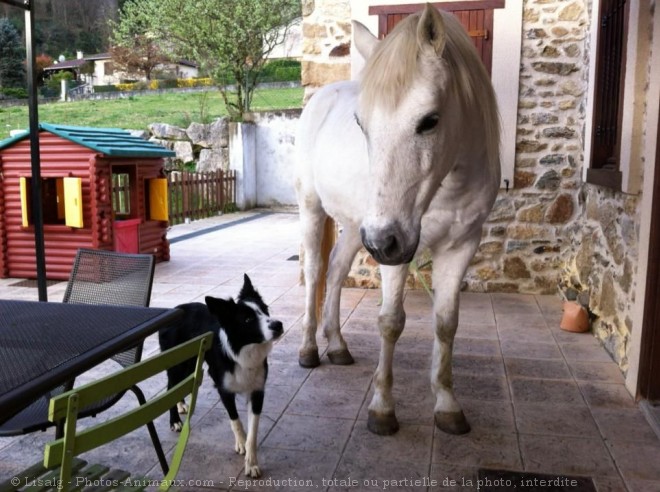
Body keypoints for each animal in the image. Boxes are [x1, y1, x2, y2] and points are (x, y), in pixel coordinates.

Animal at [296, 3, 500, 434]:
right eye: (361, 123)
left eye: (430, 120)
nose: (382, 241)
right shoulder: (395, 250)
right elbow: (390, 321)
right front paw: (383, 409)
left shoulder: (460, 246)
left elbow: (447, 323)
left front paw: (447, 403)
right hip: (318, 211)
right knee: (316, 271)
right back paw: (308, 349)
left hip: (357, 229)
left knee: (336, 272)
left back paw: (337, 346)